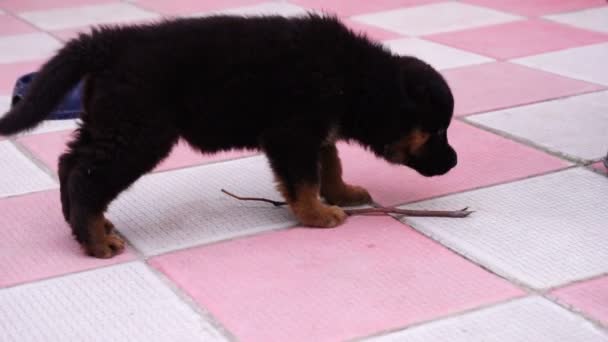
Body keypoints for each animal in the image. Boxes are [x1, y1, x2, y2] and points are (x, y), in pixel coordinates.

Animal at [0, 14, 456, 258]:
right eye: (436, 130)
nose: (453, 162)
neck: (355, 79)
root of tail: (109, 42)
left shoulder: (315, 130)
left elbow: (330, 161)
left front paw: (341, 192)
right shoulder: (292, 133)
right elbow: (304, 179)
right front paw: (316, 214)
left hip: (109, 122)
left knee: (70, 163)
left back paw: (82, 226)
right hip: (139, 133)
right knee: (86, 176)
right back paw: (95, 240)